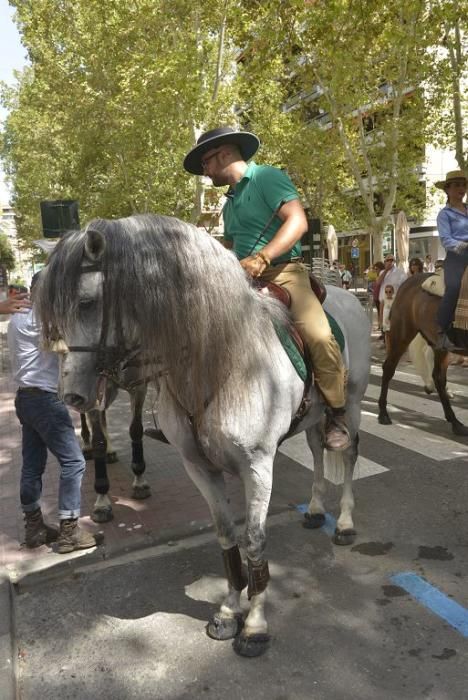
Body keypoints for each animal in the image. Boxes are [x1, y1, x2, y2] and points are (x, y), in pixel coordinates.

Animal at [36, 213, 372, 656]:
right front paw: (229, 611)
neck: (219, 358)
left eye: (88, 303)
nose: (72, 396)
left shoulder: (257, 467)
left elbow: (254, 540)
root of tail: (348, 295)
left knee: (347, 454)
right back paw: (316, 509)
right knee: (318, 451)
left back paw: (346, 523)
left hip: (352, 402)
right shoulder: (198, 466)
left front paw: (255, 625)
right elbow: (227, 535)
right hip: (314, 417)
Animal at [376, 272, 468, 432]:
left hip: (439, 346)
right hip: (402, 336)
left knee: (438, 376)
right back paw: (383, 414)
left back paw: (454, 421)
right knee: (388, 368)